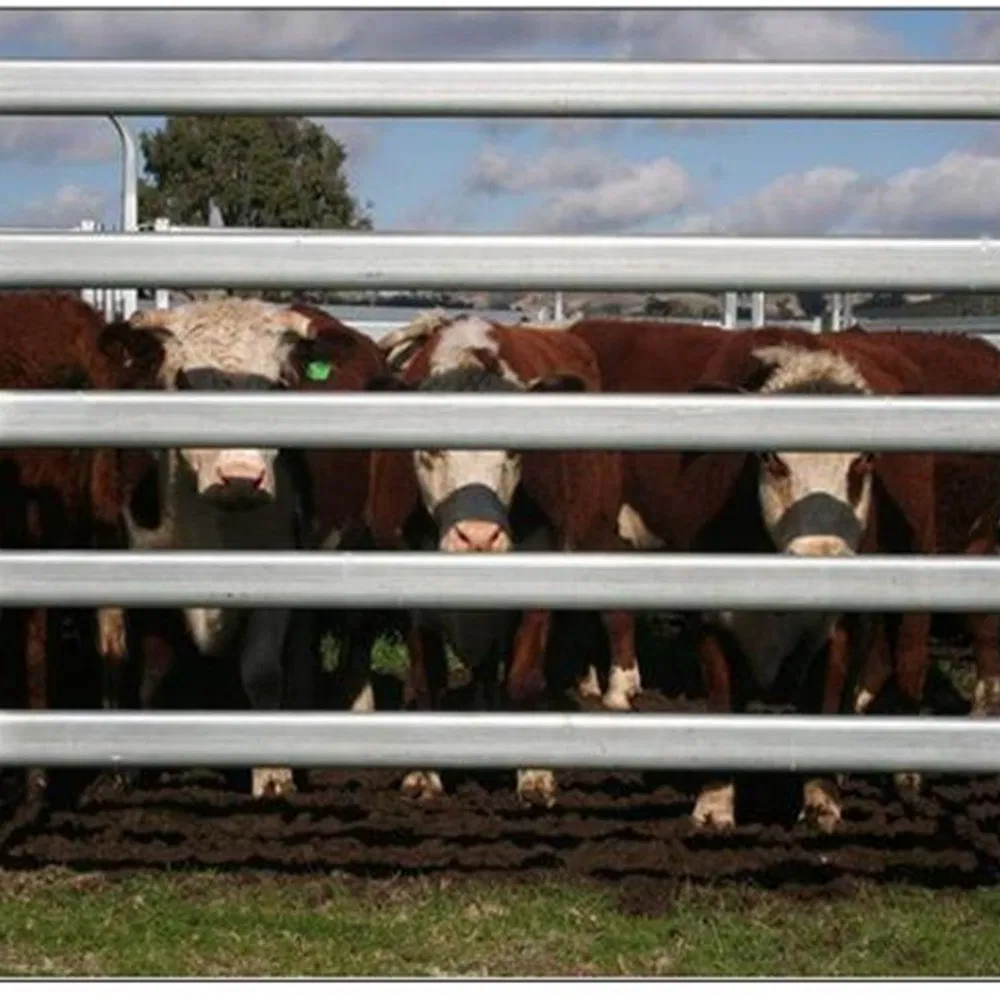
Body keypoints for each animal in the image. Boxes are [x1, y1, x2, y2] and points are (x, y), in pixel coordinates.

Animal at [96, 296, 391, 799]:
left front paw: (272, 773)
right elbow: (136, 664)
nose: (240, 477)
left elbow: (261, 671)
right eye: (184, 383)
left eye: (278, 385)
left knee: (351, 638)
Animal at [363, 311, 633, 808]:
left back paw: (620, 688)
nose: (479, 537)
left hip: (598, 529)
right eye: (429, 450)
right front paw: (424, 774)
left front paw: (534, 774)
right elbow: (426, 677)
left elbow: (524, 679)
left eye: (513, 451)